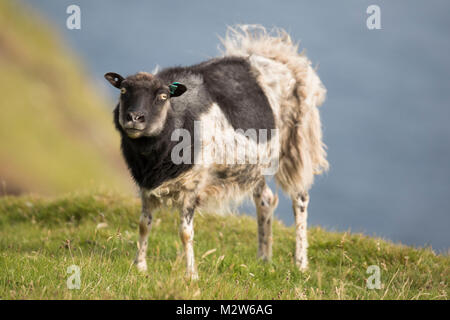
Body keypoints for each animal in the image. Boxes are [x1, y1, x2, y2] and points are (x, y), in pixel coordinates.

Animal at [105, 25, 330, 280]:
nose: (134, 118)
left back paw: (300, 263)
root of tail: (281, 58)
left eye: (162, 97)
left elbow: (185, 233)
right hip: (254, 164)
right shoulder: (146, 186)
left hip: (296, 145)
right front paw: (140, 266)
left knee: (300, 199)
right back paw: (263, 258)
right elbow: (144, 224)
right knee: (265, 199)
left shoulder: (192, 185)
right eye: (123, 90)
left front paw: (191, 275)